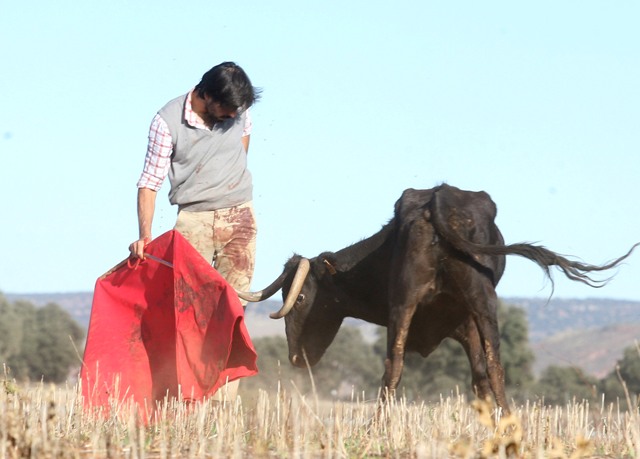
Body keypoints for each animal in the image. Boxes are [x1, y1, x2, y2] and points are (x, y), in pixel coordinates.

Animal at [238, 184, 636, 414]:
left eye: (301, 296)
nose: (296, 358)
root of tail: (437, 199)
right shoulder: (468, 325)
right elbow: (481, 378)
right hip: (479, 302)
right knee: (492, 368)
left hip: (409, 304)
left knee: (395, 365)